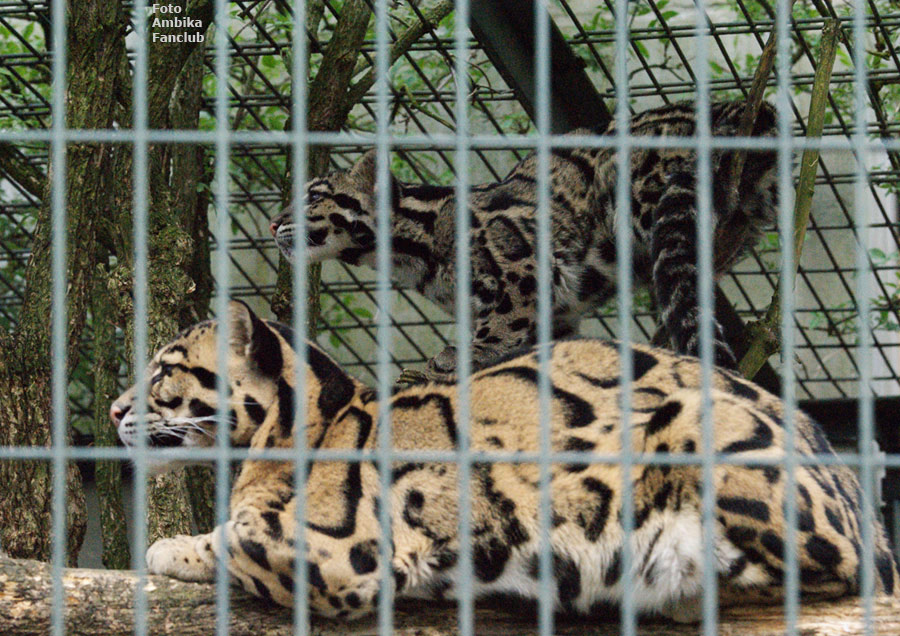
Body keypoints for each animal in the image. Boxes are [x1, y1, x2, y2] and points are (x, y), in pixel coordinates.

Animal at [270, 99, 776, 378]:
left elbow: (496, 328)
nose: (273, 224)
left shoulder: (525, 271)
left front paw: (449, 362)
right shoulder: (558, 315)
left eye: (313, 196)